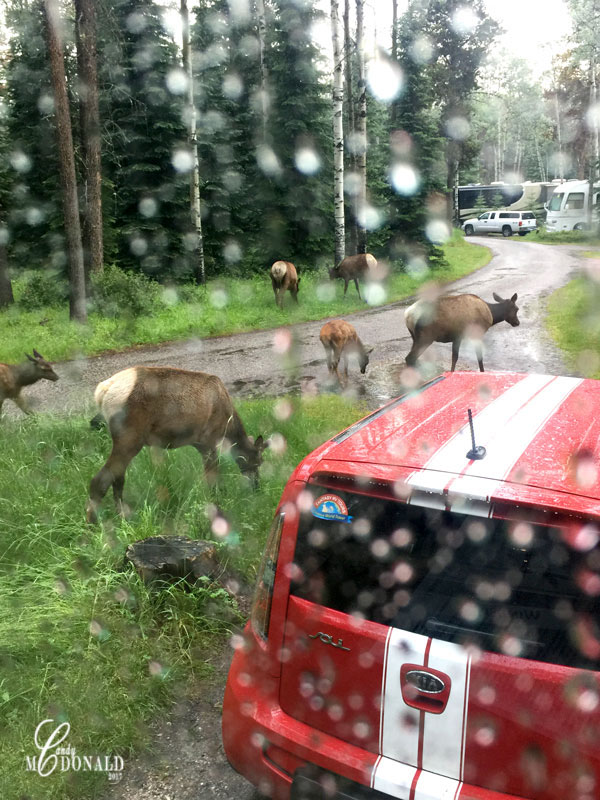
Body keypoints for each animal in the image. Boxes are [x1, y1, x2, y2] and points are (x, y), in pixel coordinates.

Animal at [86, 366, 269, 523]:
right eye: (258, 462)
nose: (257, 488)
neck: (229, 428)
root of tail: (102, 392)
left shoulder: (199, 444)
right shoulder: (209, 442)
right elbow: (213, 478)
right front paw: (219, 502)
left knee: (118, 479)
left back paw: (123, 517)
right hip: (129, 438)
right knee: (100, 481)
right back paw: (93, 523)